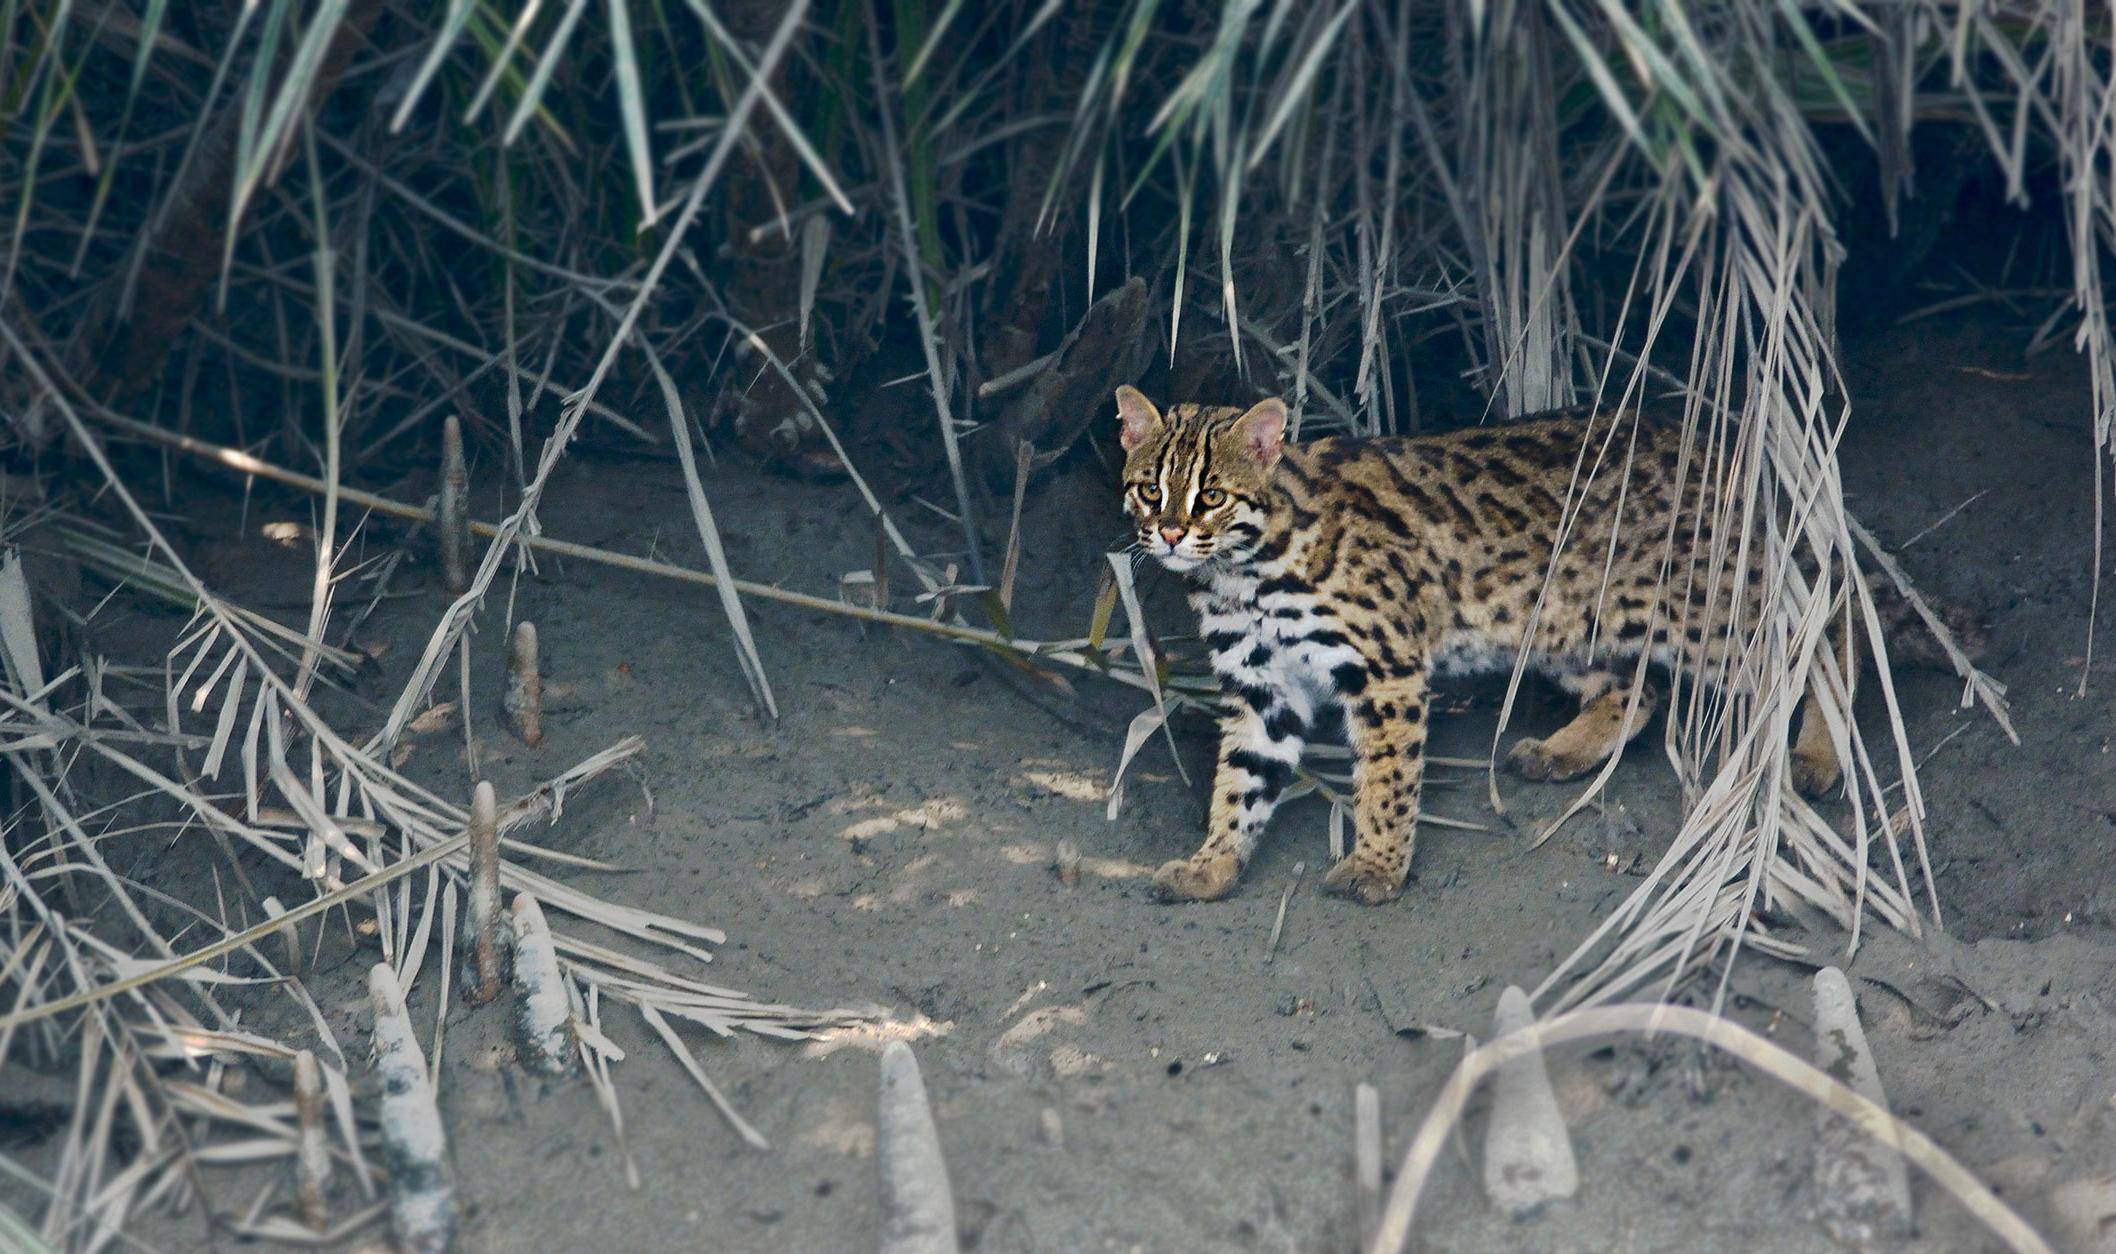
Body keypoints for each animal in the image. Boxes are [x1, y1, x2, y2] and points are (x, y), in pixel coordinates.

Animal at [1117, 386, 1972, 905]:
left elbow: (1386, 783)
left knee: (1829, 624)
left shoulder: (1386, 669)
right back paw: (1564, 750)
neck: (1240, 570)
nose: (1168, 534)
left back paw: (1820, 749)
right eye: (1149, 489)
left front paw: (1378, 865)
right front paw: (1212, 864)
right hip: (1570, 619)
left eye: (1211, 496)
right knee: (1637, 687)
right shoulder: (1261, 688)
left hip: (1710, 614)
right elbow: (1239, 781)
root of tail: (1720, 446)